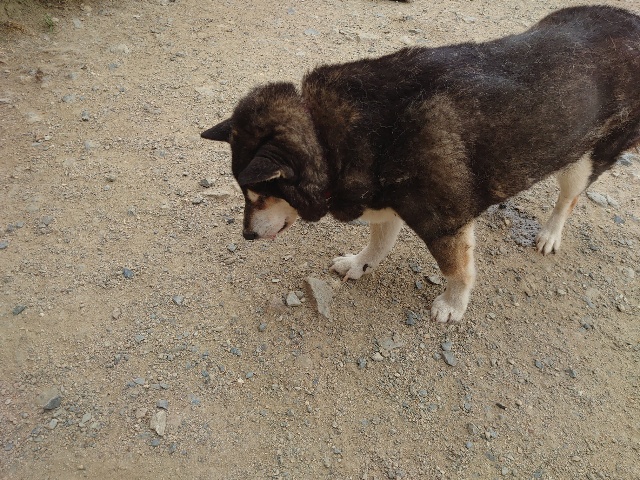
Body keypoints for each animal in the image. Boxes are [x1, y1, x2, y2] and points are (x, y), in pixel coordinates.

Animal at [201, 6, 640, 323]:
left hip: (583, 159)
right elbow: (378, 245)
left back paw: (550, 234)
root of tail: (631, 21)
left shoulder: (443, 222)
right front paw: (359, 264)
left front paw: (453, 305)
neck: (330, 139)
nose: (246, 236)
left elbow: (457, 270)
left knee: (569, 199)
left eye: (259, 194)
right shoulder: (386, 204)